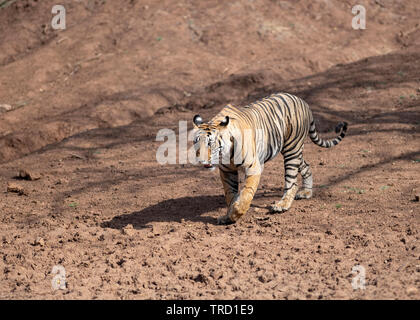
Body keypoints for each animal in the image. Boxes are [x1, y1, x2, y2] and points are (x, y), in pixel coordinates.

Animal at [192, 91, 346, 224]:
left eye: (210, 143)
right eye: (196, 142)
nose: (201, 160)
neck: (226, 154)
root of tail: (303, 101)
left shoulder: (253, 167)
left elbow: (246, 193)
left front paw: (237, 212)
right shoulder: (226, 171)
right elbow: (230, 194)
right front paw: (228, 216)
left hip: (292, 149)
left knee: (292, 182)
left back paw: (282, 205)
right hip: (295, 151)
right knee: (306, 166)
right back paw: (306, 192)